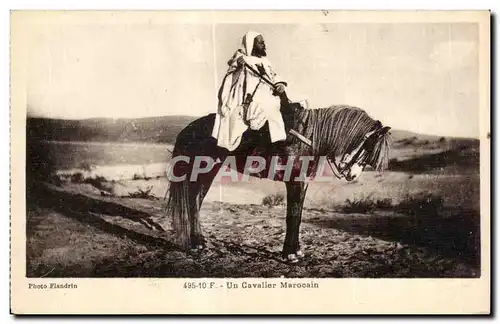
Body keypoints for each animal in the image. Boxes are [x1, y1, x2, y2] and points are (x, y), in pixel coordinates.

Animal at [164, 99, 390, 264]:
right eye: (369, 146)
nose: (352, 175)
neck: (309, 138)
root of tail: (190, 129)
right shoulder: (295, 182)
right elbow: (292, 216)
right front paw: (290, 254)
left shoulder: (303, 183)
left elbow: (297, 216)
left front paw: (296, 251)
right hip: (204, 170)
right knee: (193, 202)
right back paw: (196, 244)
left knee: (195, 202)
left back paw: (199, 242)